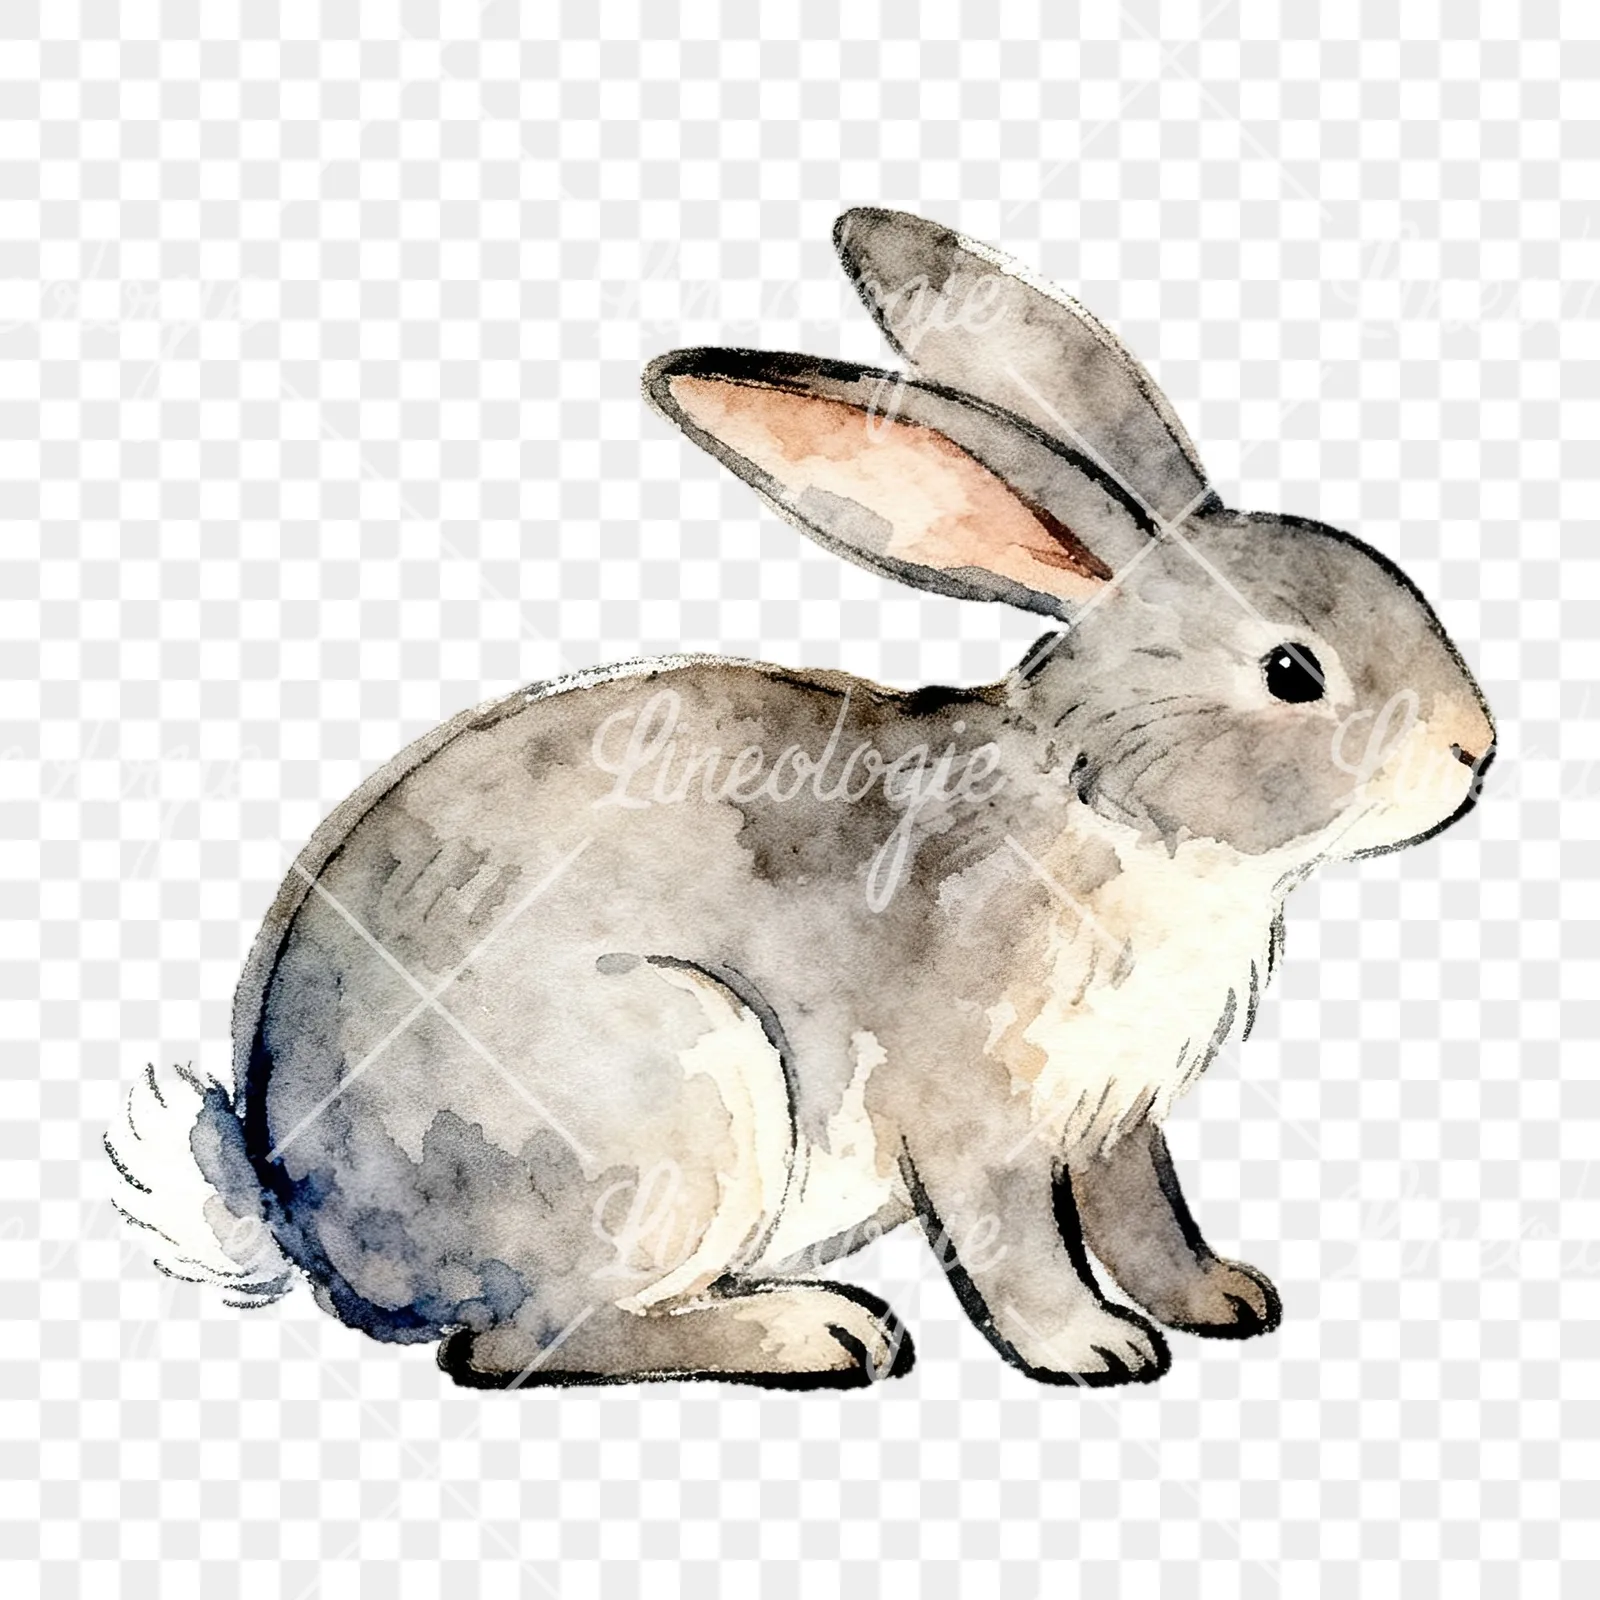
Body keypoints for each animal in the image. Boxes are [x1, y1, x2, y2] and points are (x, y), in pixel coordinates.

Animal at [107, 208, 1494, 1390]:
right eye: (1292, 673)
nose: (1476, 750)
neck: (1108, 802)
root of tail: (299, 1213)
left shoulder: (1114, 1120)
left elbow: (1143, 1215)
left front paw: (1222, 1297)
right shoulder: (977, 1116)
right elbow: (1016, 1244)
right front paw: (1093, 1349)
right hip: (677, 1089)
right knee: (519, 1343)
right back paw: (820, 1331)